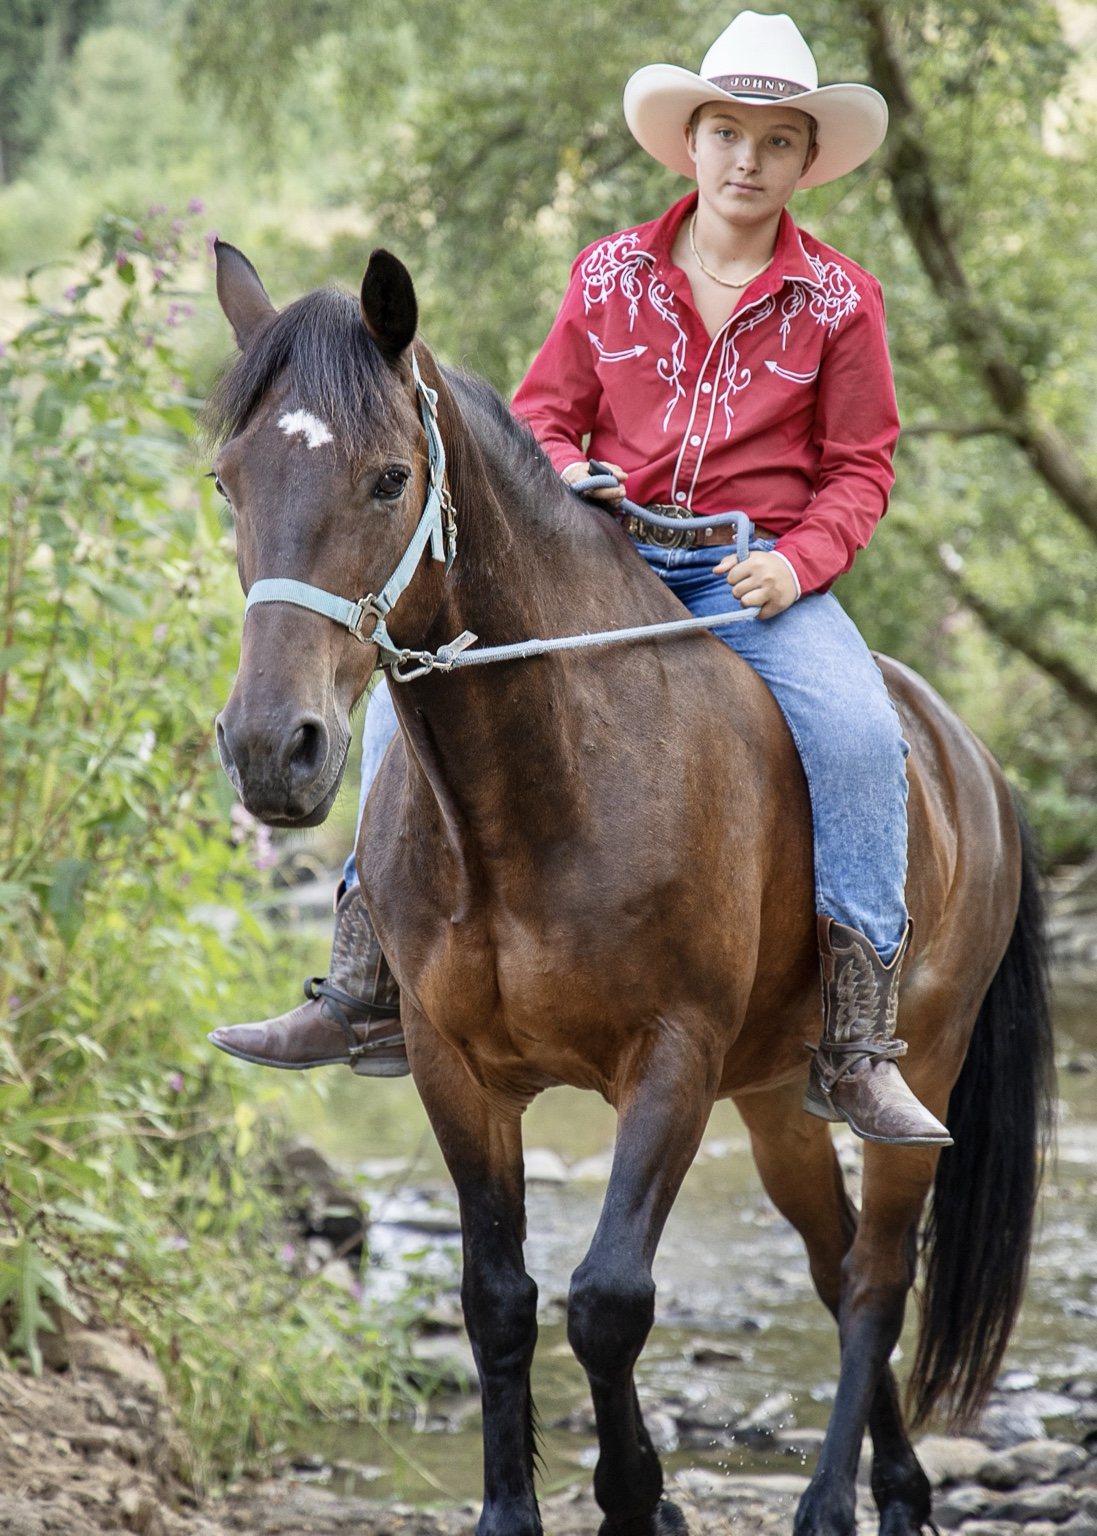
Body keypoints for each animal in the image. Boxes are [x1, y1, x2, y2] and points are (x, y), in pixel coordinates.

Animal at [208, 240, 1054, 1536]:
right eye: (227, 484)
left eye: (388, 479)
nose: (270, 750)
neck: (551, 777)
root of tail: (972, 761)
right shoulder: (455, 1069)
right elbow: (497, 1297)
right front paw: (514, 1513)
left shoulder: (671, 1059)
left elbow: (607, 1299)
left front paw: (638, 1500)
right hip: (776, 1099)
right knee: (830, 1263)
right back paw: (901, 1488)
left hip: (918, 1069)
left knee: (872, 1279)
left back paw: (830, 1504)